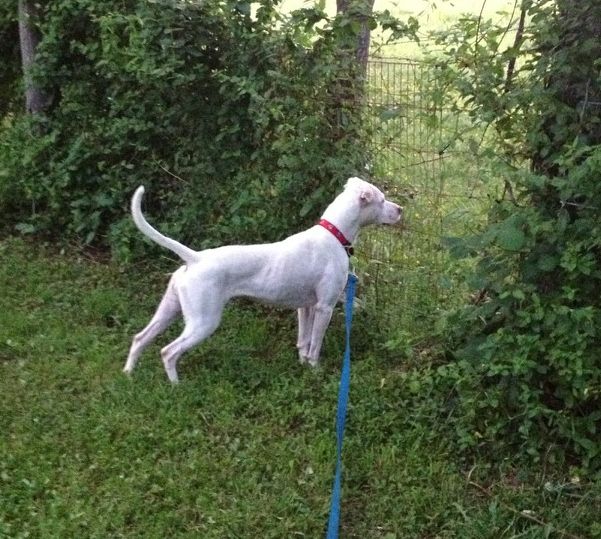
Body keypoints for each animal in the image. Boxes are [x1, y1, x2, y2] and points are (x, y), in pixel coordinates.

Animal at [123, 176, 400, 380]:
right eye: (382, 199)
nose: (401, 209)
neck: (334, 234)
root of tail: (195, 258)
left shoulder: (306, 307)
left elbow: (303, 341)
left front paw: (302, 366)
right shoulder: (325, 307)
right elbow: (315, 345)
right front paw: (315, 370)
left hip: (169, 310)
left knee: (140, 338)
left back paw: (128, 375)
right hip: (203, 321)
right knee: (168, 352)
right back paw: (176, 386)